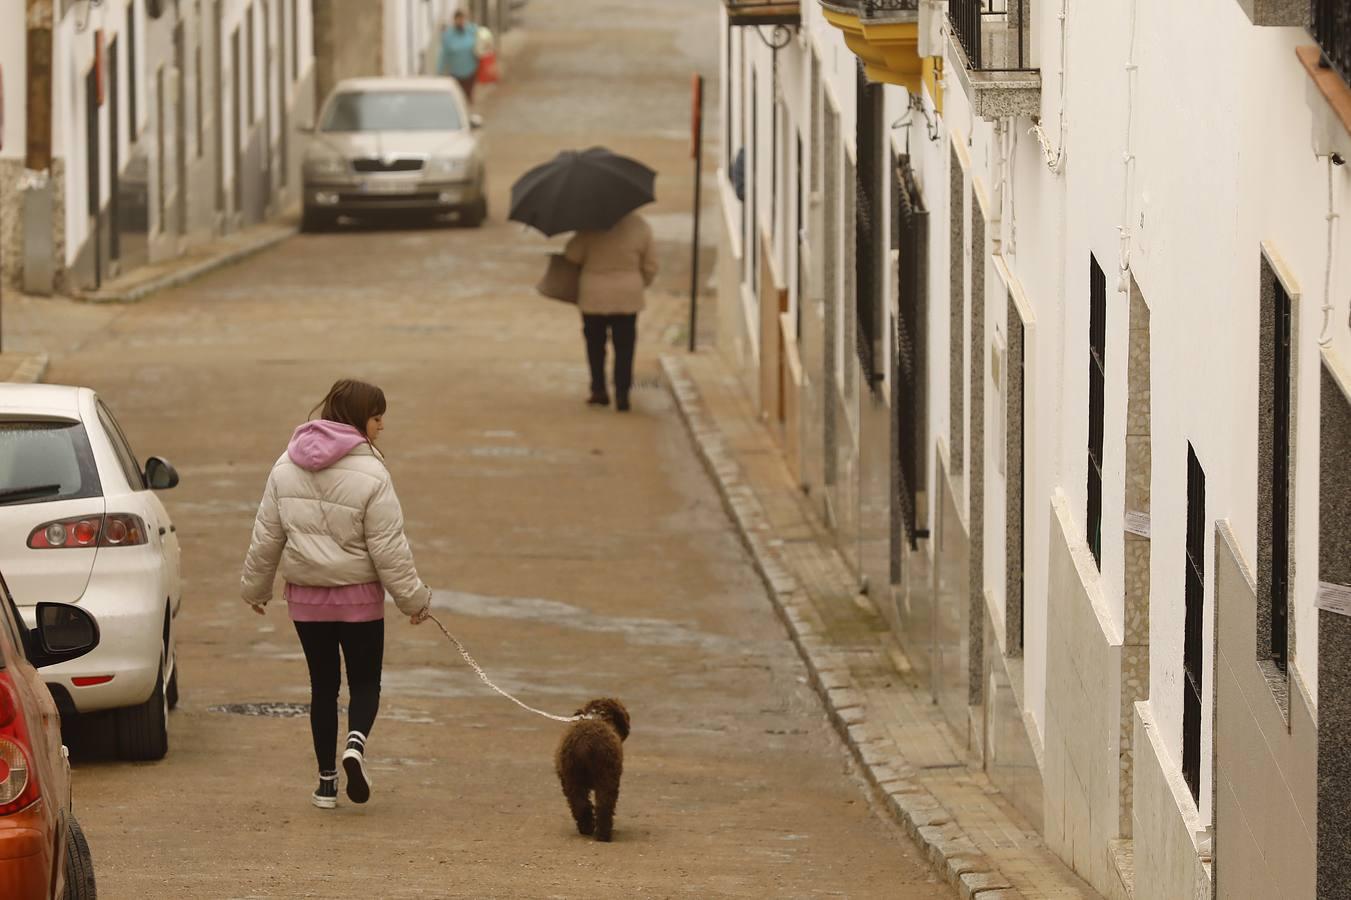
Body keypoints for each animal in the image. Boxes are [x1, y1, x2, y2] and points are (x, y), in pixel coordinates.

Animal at [551, 697, 629, 837]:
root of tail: (586, 743)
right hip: (606, 778)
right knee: (604, 806)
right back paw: (603, 834)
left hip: (573, 778)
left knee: (581, 805)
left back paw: (587, 829)